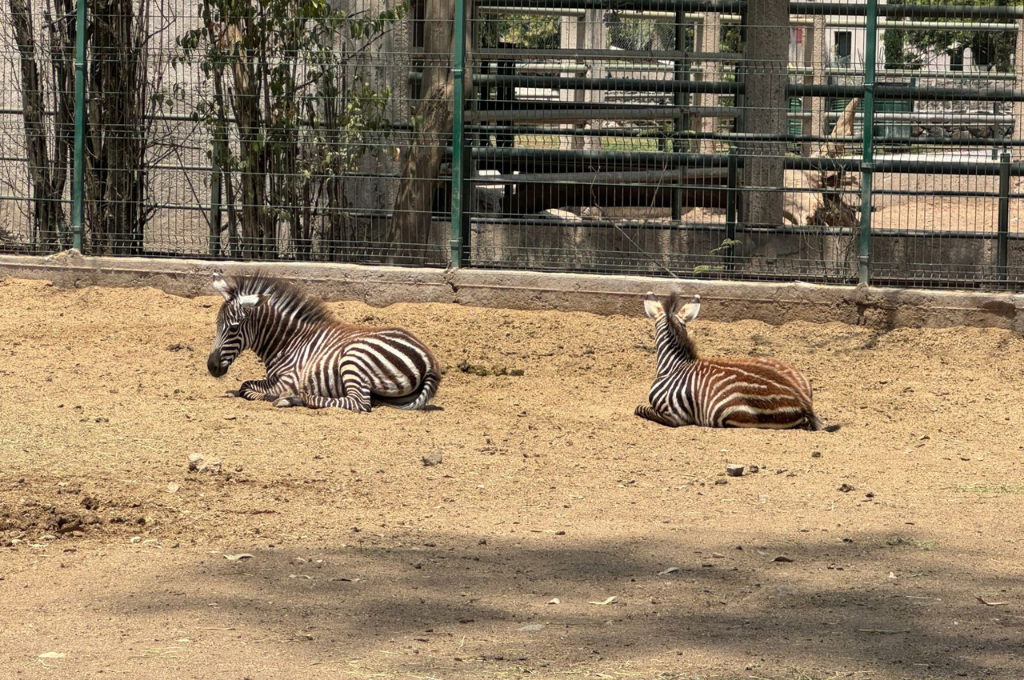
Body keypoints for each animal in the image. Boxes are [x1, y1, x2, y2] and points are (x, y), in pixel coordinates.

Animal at [207, 272, 441, 412]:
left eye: (234, 328)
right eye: (217, 324)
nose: (211, 366)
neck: (289, 342)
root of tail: (430, 361)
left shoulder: (289, 379)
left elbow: (245, 387)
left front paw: (271, 395)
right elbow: (245, 386)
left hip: (353, 358)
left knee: (358, 403)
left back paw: (293, 398)